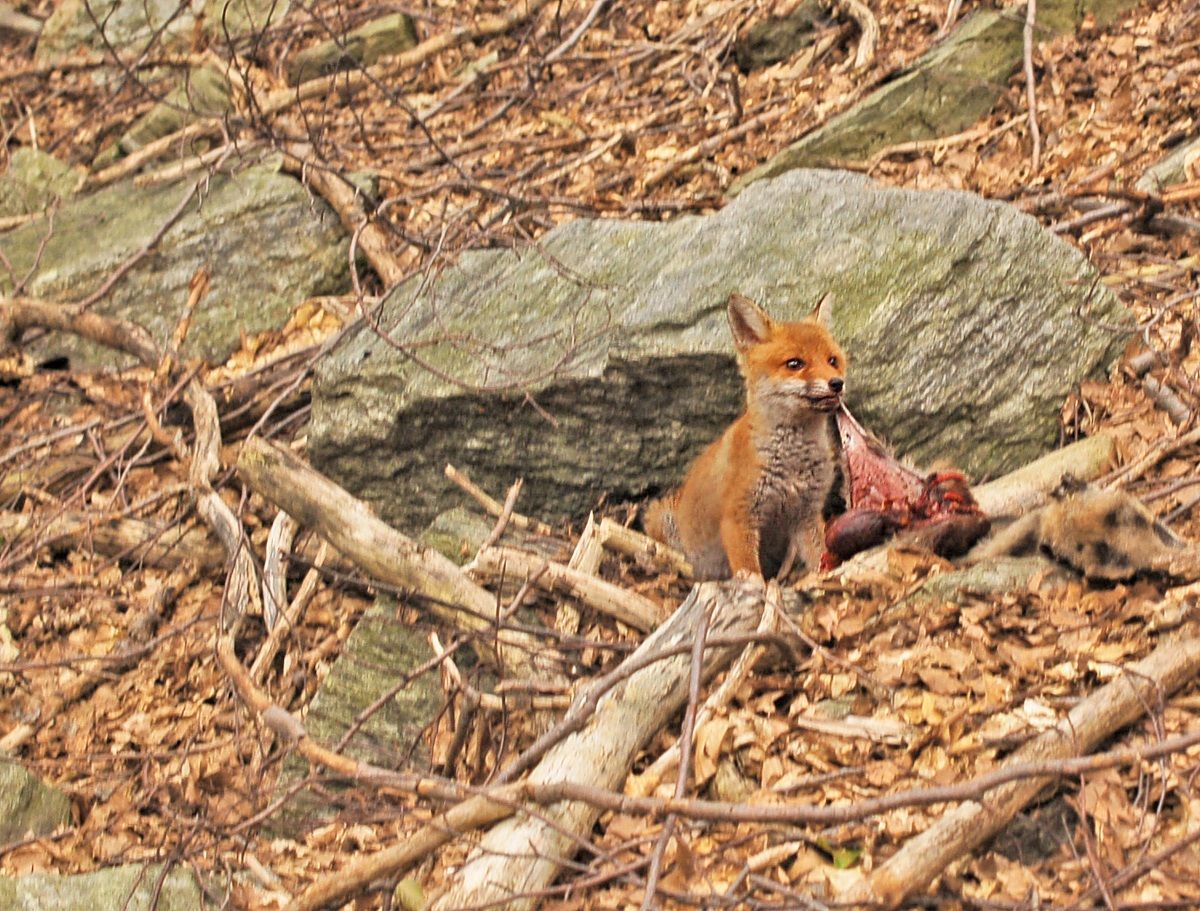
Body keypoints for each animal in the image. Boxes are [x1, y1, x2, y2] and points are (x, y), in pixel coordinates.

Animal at [644, 292, 847, 580]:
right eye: (795, 364)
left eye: (832, 361)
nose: (837, 383)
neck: (792, 463)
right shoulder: (738, 519)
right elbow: (750, 572)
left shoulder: (806, 514)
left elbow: (821, 558)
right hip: (661, 521)